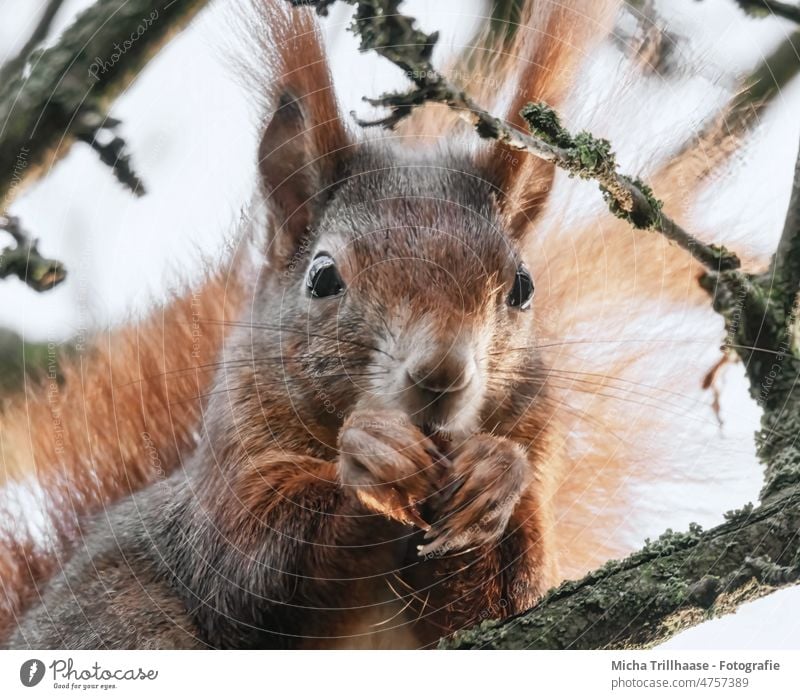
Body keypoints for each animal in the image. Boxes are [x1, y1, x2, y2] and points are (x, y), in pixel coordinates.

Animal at [1, 1, 724, 652]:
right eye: (323, 277)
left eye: (523, 286)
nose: (441, 374)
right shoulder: (223, 486)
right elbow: (248, 570)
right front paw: (373, 459)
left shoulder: (538, 446)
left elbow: (504, 593)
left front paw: (495, 474)